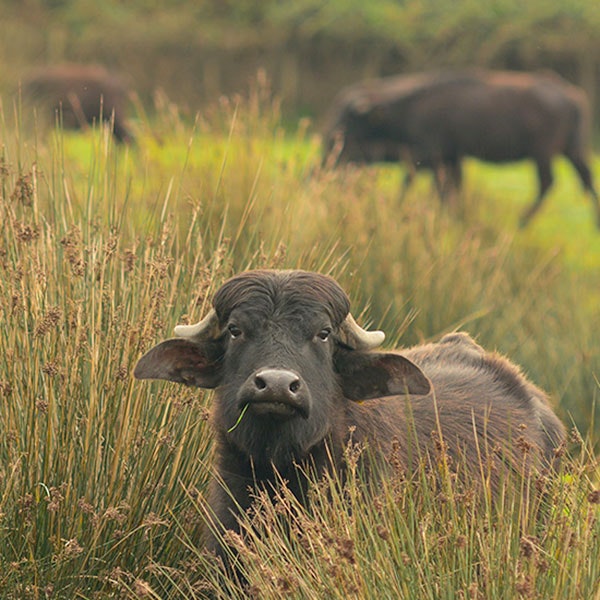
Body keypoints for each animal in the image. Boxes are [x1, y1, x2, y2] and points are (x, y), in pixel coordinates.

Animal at [324, 70, 600, 229]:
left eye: (349, 122)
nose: (328, 156)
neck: (409, 109)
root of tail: (572, 94)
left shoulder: (432, 156)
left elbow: (425, 185)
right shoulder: (450, 158)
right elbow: (452, 188)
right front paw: (455, 216)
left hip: (543, 153)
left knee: (548, 182)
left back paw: (522, 221)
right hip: (571, 150)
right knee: (586, 178)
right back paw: (594, 224)